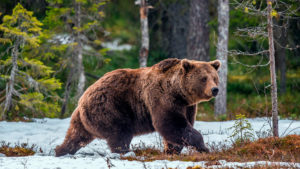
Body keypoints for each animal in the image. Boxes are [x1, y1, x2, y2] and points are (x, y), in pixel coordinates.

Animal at [55, 58, 220, 157]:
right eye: (203, 78)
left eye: (215, 77)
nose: (215, 89)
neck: (179, 92)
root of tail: (83, 97)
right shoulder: (162, 99)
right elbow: (171, 124)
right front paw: (203, 147)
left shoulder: (187, 107)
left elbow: (181, 127)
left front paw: (171, 150)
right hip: (110, 108)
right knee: (120, 133)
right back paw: (126, 152)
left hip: (83, 119)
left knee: (76, 136)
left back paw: (60, 150)